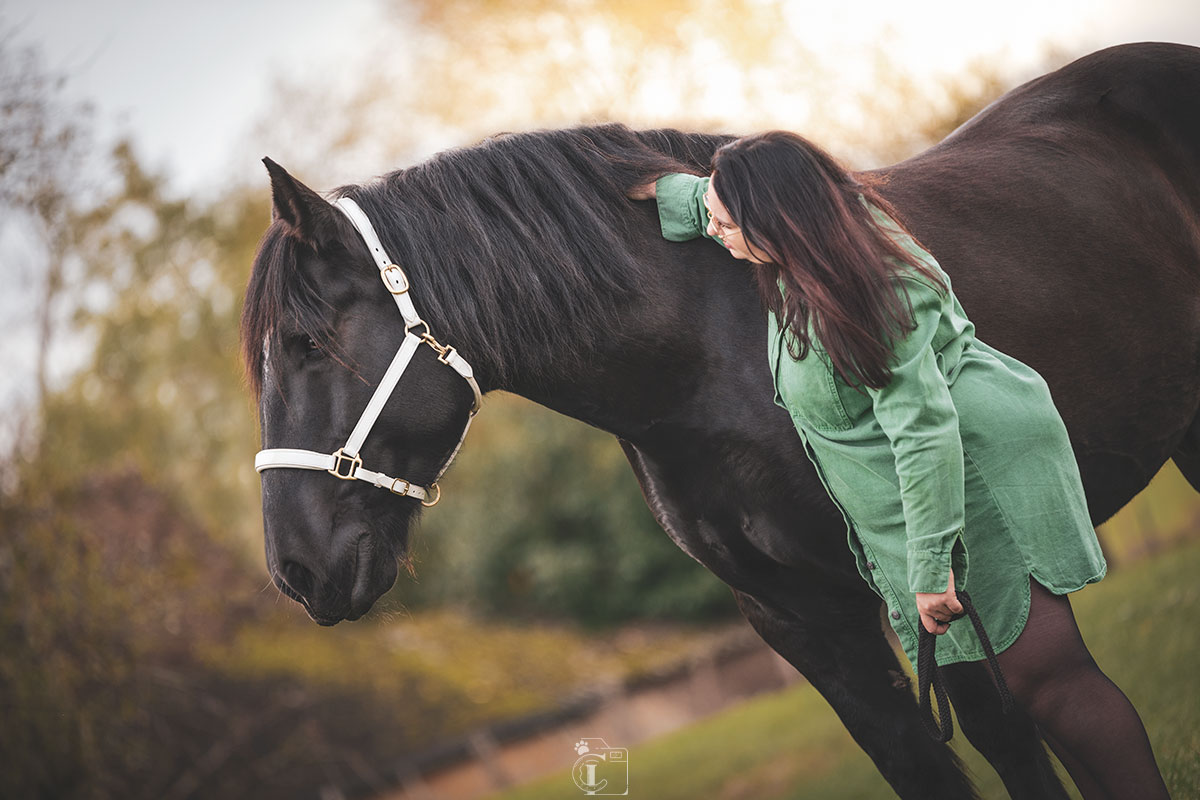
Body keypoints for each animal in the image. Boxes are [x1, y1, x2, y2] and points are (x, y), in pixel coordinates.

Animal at [238, 45, 1195, 800]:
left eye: (307, 344)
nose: (297, 571)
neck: (710, 353)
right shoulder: (800, 623)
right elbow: (917, 766)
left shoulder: (938, 595)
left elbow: (1012, 746)